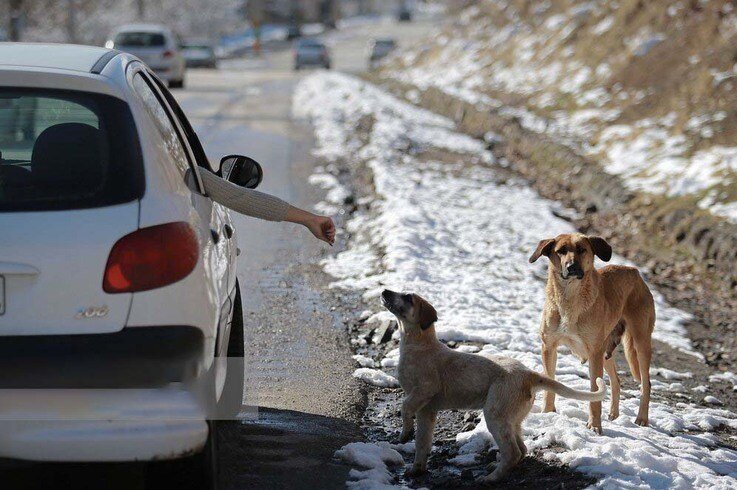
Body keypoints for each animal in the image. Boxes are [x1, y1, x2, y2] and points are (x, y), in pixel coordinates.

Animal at [380, 290, 604, 480]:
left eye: (408, 297)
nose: (384, 291)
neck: (419, 344)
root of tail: (528, 374)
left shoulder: (424, 390)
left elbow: (405, 407)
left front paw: (404, 433)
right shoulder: (426, 410)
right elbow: (422, 443)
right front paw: (416, 469)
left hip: (495, 414)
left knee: (513, 452)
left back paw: (491, 478)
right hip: (512, 419)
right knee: (521, 450)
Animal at [528, 234, 656, 432]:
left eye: (582, 249)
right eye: (561, 251)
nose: (571, 266)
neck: (569, 299)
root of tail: (634, 271)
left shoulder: (594, 353)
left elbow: (595, 394)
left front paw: (595, 425)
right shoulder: (549, 347)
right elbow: (549, 382)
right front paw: (548, 412)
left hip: (639, 342)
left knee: (645, 383)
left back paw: (641, 418)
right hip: (605, 351)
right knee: (616, 381)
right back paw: (614, 414)